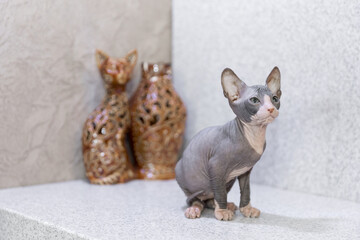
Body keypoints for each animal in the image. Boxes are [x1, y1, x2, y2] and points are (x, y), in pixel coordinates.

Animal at [174, 66, 282, 220]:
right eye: (254, 100)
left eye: (275, 99)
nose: (271, 108)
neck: (253, 135)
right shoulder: (215, 166)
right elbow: (220, 192)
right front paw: (222, 212)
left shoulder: (245, 170)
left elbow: (246, 190)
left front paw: (246, 209)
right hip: (182, 174)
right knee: (197, 199)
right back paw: (195, 209)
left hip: (228, 181)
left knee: (209, 199)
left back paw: (222, 205)